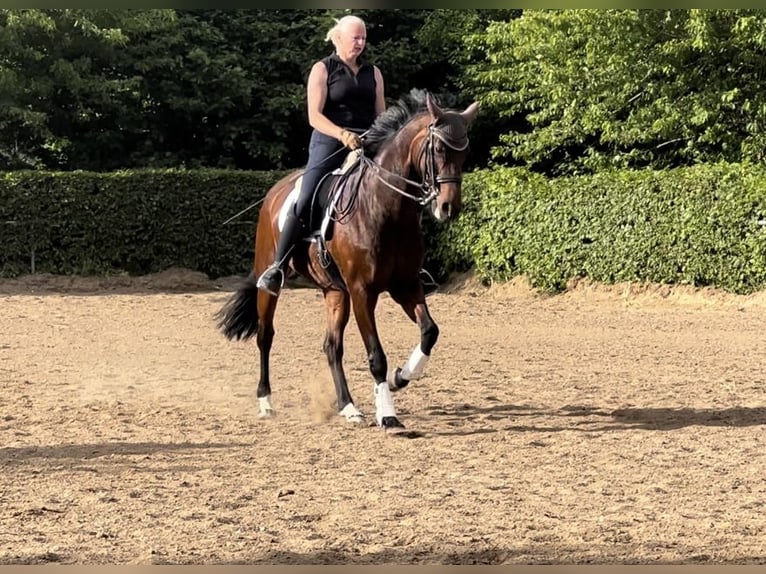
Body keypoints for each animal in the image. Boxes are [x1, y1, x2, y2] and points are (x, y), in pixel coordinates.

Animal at [218, 88, 480, 434]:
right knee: (265, 336)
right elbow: (376, 355)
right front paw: (388, 415)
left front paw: (400, 377)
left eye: (465, 153)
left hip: (335, 291)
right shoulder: (362, 292)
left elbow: (429, 332)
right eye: (437, 148)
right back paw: (266, 402)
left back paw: (348, 407)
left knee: (332, 346)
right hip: (271, 281)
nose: (448, 207)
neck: (386, 210)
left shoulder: (406, 286)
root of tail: (276, 191)